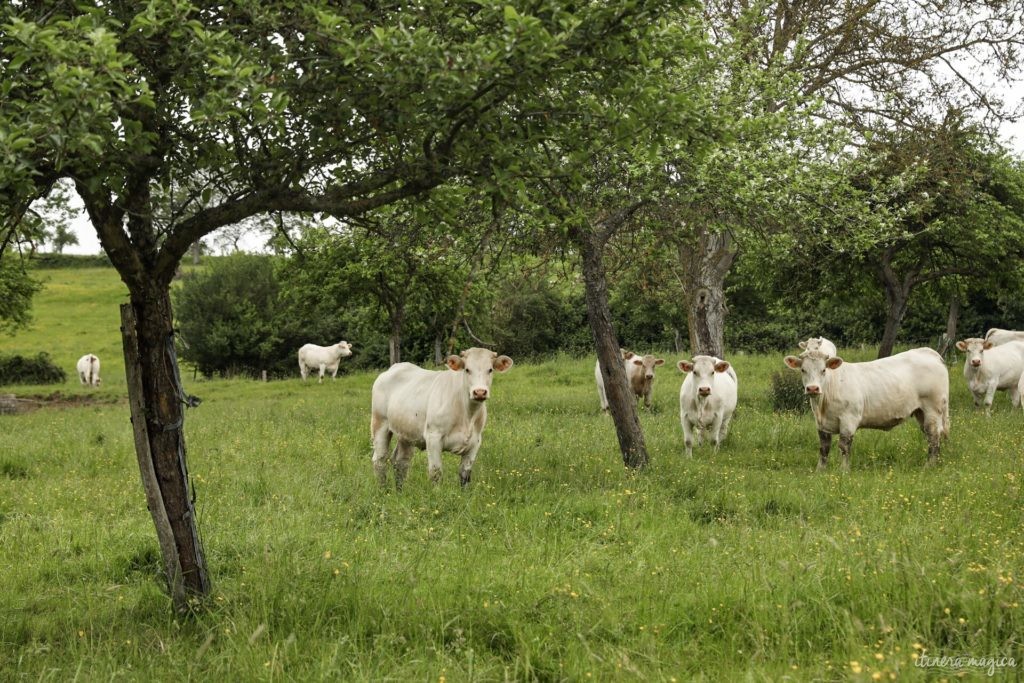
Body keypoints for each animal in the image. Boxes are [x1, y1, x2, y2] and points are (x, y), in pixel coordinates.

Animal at [368, 350, 512, 489]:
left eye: (490, 370)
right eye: (467, 369)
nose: (480, 392)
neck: (467, 415)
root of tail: (395, 366)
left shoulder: (475, 442)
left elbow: (465, 475)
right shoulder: (433, 437)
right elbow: (435, 473)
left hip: (406, 433)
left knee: (401, 462)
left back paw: (399, 491)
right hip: (380, 423)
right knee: (380, 459)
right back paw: (383, 490)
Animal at [782, 348, 950, 471]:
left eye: (824, 370)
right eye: (803, 370)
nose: (812, 388)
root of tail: (929, 352)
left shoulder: (849, 419)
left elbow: (844, 446)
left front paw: (844, 471)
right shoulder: (821, 424)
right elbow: (824, 448)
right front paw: (820, 471)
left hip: (933, 408)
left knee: (934, 436)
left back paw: (929, 466)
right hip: (921, 412)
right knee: (930, 436)